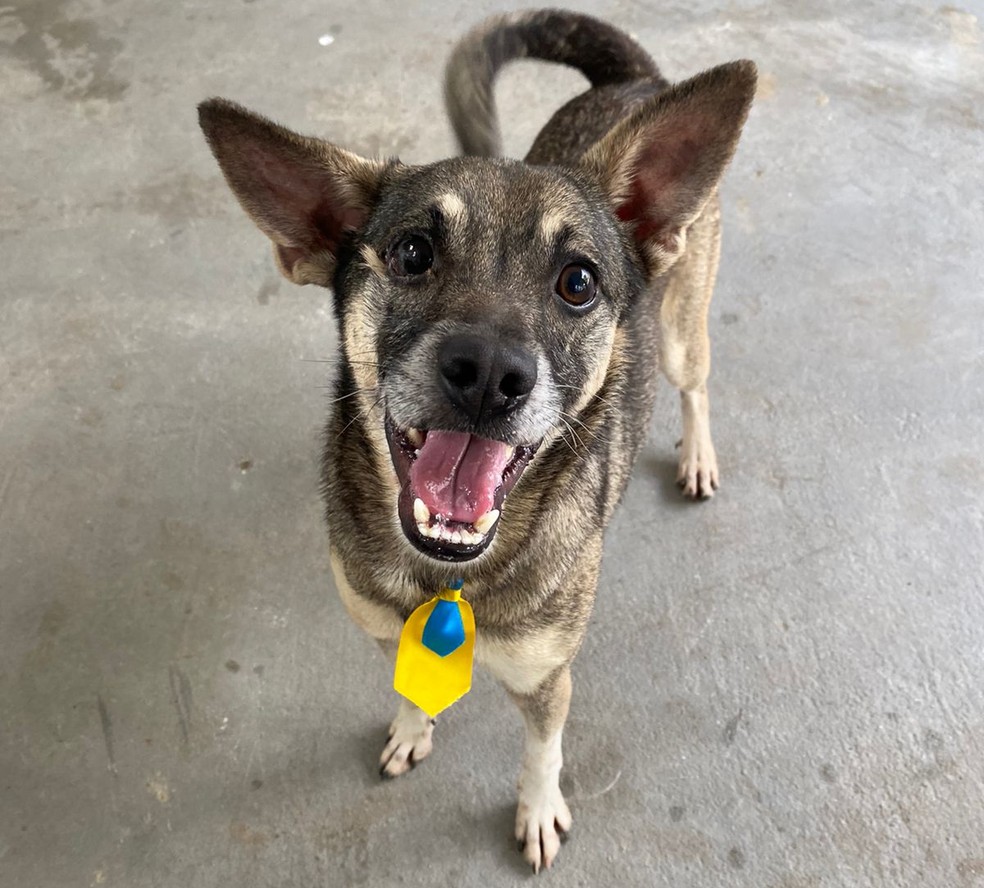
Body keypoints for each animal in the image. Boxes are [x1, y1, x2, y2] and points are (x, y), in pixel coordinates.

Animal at [198, 8, 752, 876]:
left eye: (578, 281)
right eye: (412, 253)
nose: (490, 373)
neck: (448, 580)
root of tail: (634, 80)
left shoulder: (548, 678)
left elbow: (542, 751)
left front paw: (537, 810)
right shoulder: (385, 631)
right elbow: (405, 685)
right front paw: (409, 728)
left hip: (680, 333)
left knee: (696, 385)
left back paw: (697, 455)